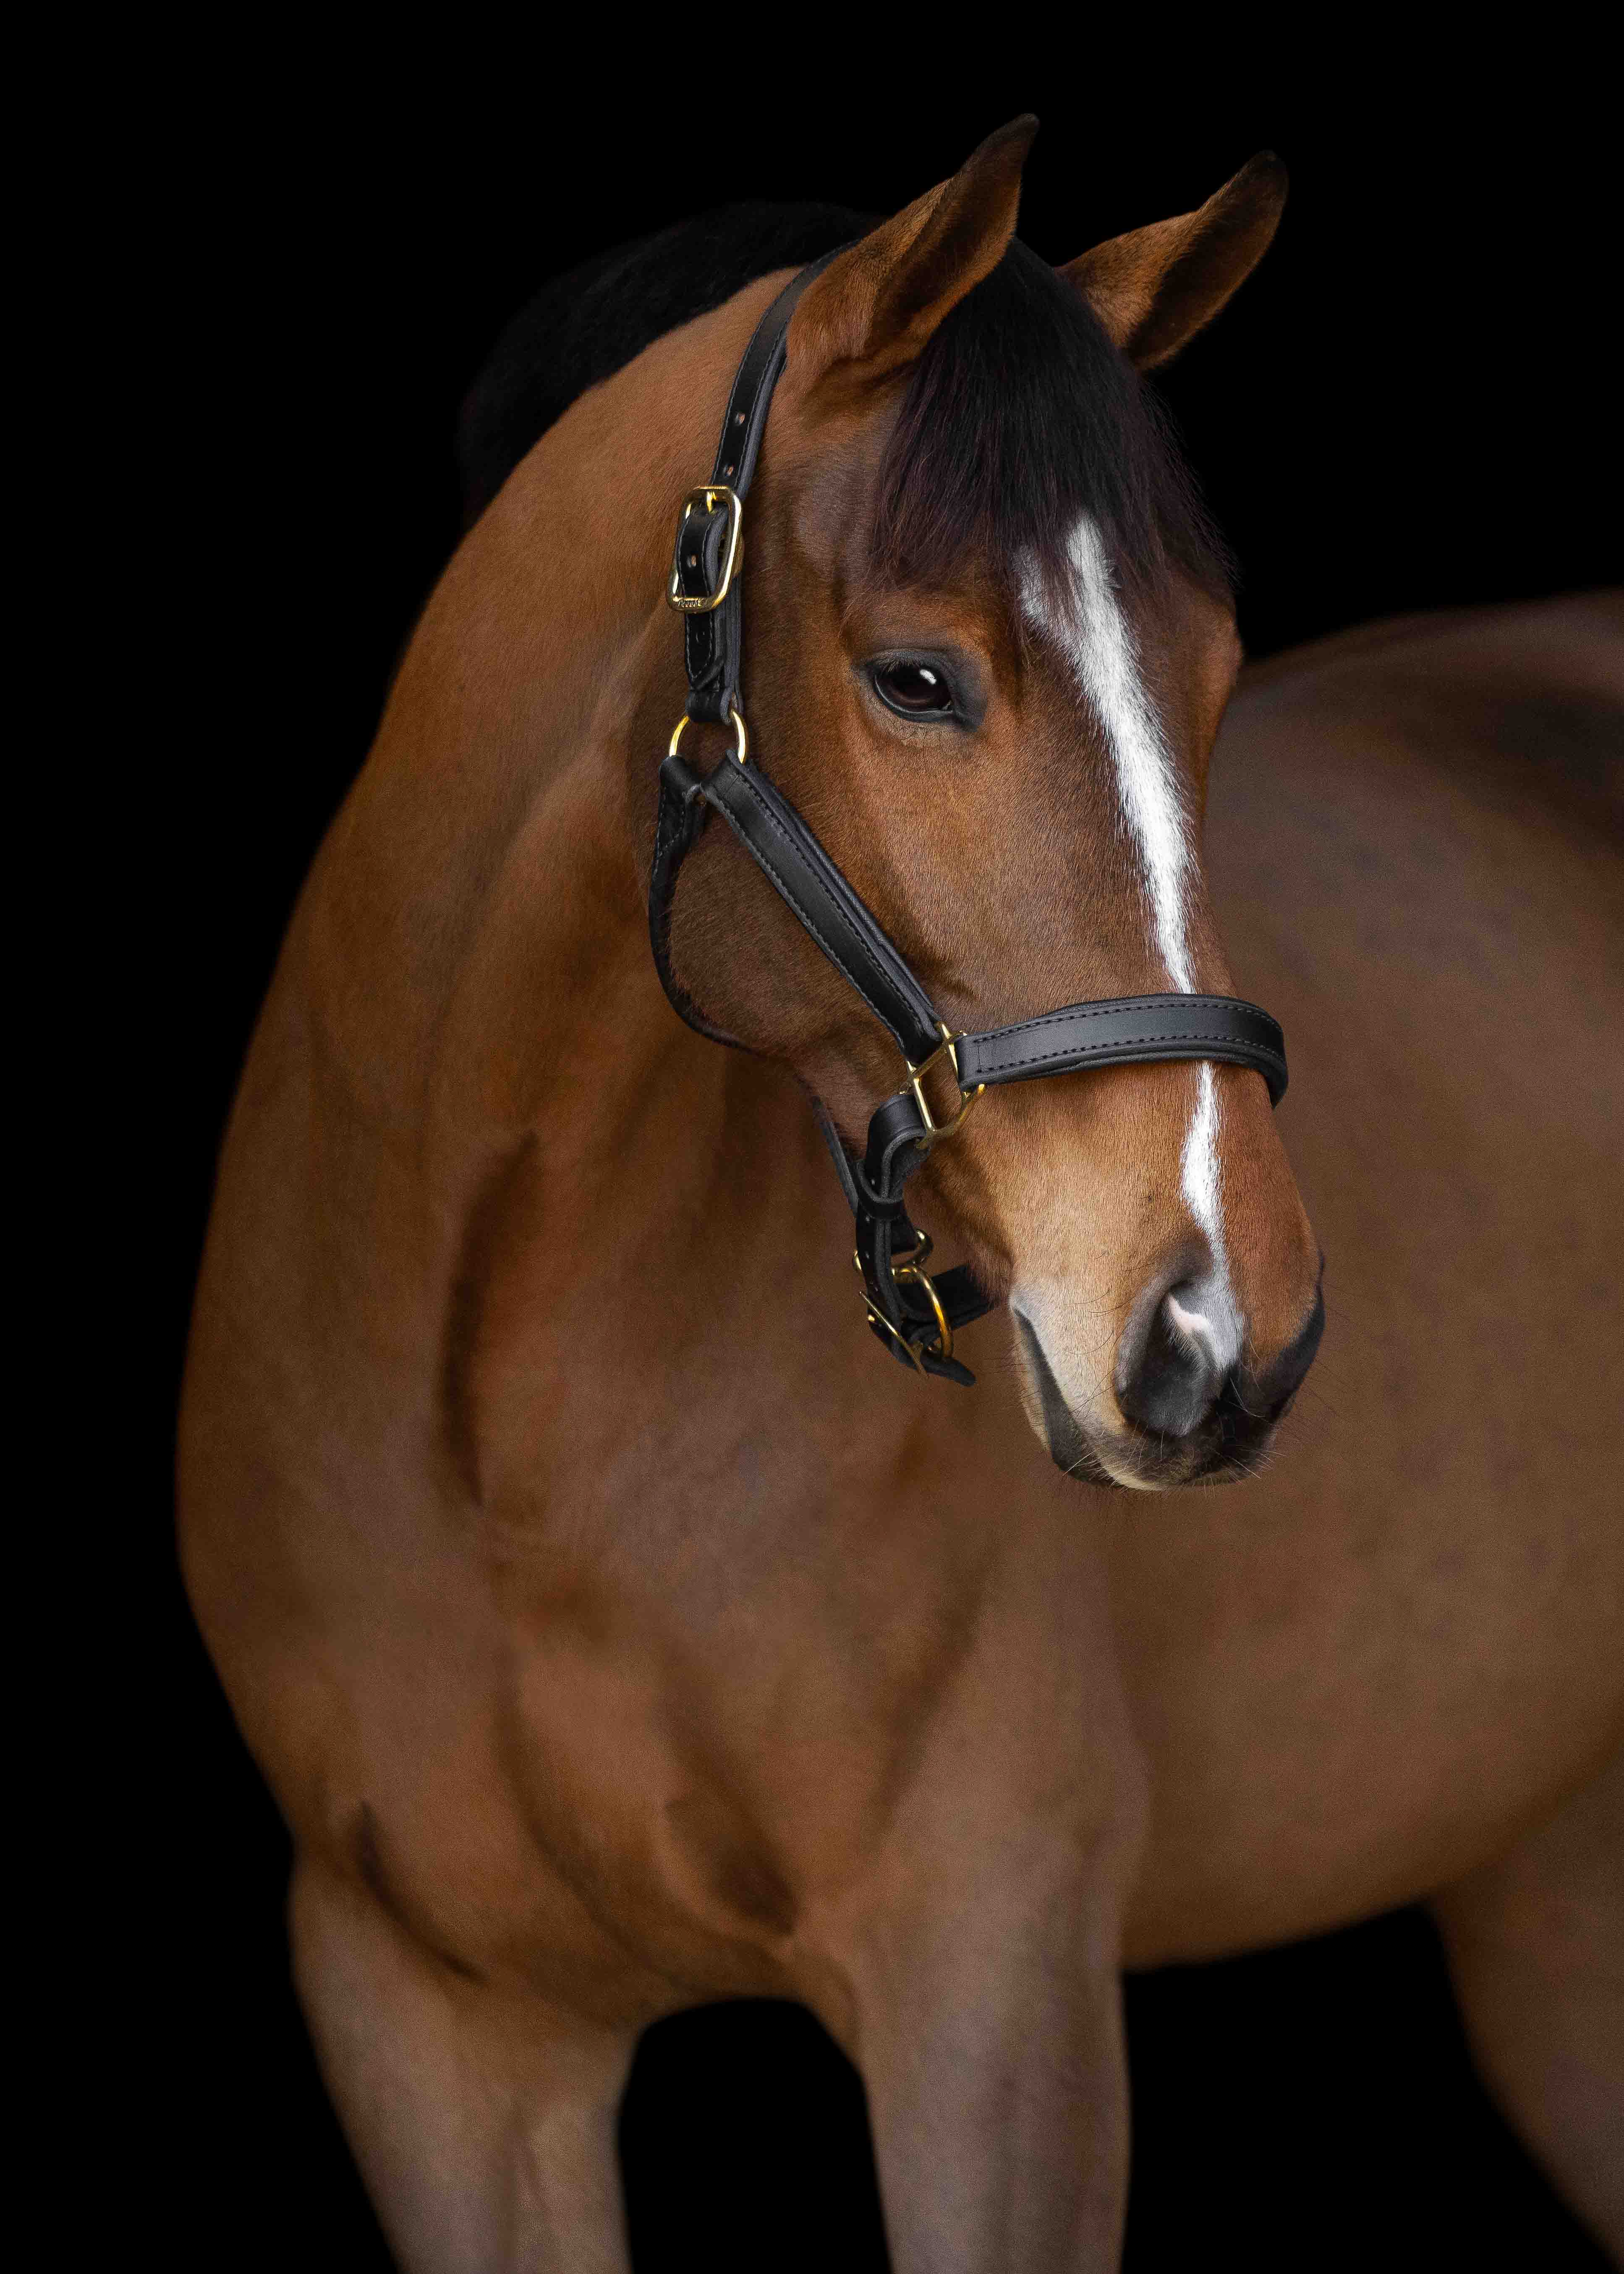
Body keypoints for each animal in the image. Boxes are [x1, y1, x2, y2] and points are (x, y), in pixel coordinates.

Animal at [178, 119, 1624, 2271]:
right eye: (918, 676)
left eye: (1212, 673)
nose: (1223, 1337)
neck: (494, 1423)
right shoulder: (434, 2021)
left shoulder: (990, 1985)